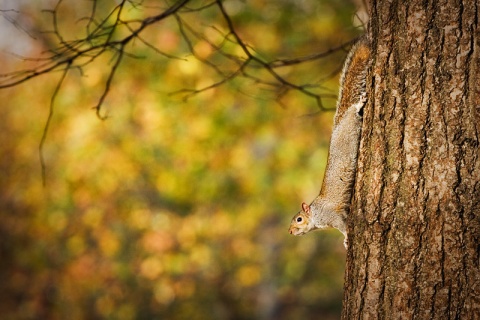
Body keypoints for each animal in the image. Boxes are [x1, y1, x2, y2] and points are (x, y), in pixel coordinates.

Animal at [288, 37, 372, 248]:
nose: (290, 231)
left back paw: (359, 104)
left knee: (352, 111)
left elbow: (343, 226)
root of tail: (337, 126)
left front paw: (346, 239)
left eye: (299, 219)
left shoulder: (333, 217)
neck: (316, 215)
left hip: (350, 125)